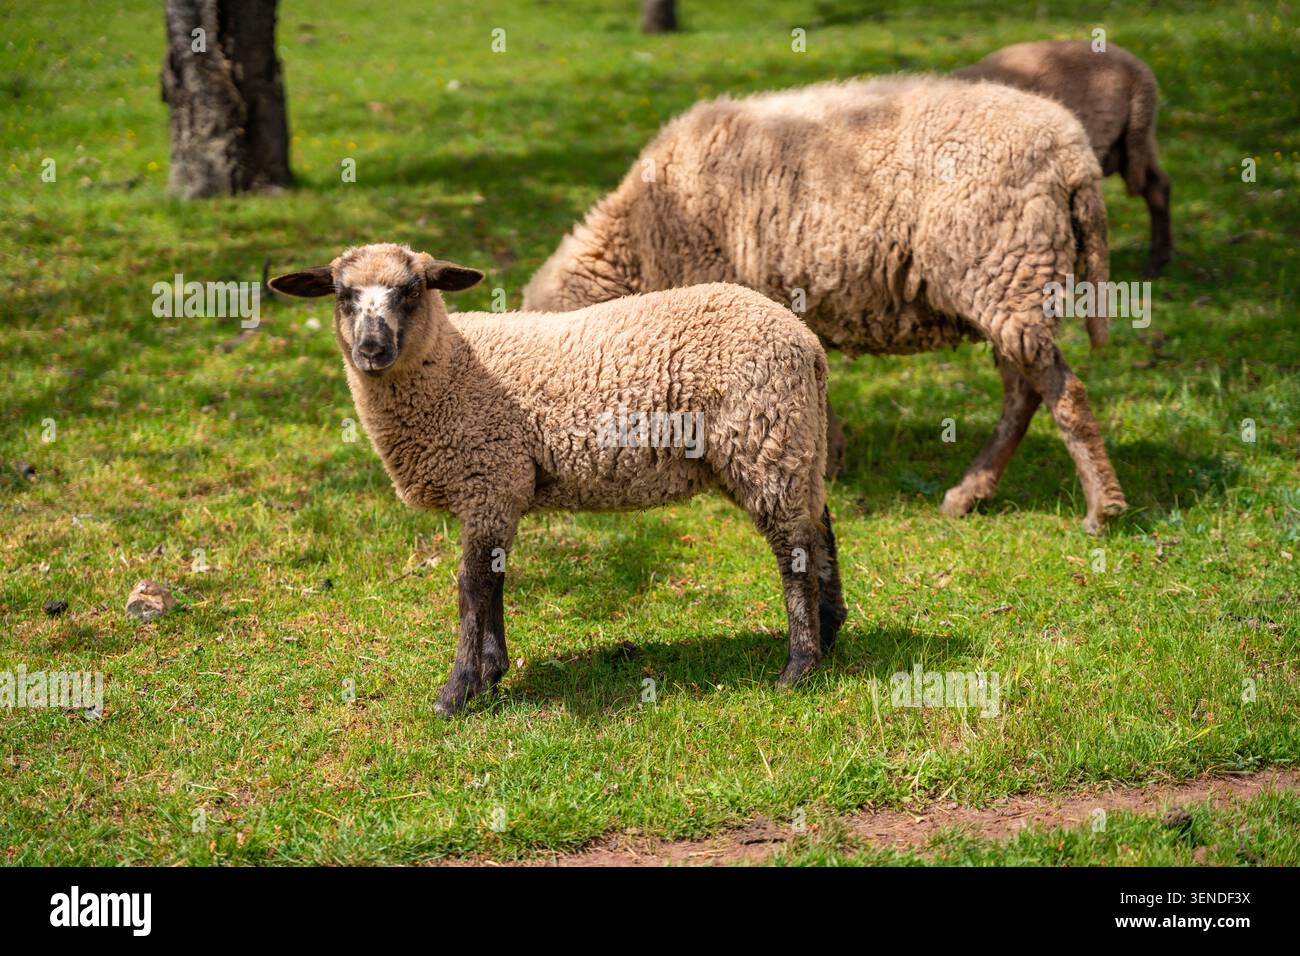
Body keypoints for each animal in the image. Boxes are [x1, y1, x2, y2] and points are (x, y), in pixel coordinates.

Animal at [270, 244, 847, 715]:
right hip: (794, 440)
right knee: (820, 526)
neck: (453, 367)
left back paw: (798, 667)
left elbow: (471, 587)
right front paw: (491, 675)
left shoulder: (489, 477)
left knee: (793, 547)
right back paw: (830, 629)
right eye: (342, 295)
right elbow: (493, 581)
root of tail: (806, 343)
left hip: (763, 437)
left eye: (412, 290)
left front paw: (458, 691)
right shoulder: (499, 488)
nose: (371, 349)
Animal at [522, 75, 1128, 532]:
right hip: (1010, 287)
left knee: (1061, 392)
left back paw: (1101, 507)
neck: (642, 236)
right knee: (1022, 396)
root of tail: (1073, 154)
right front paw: (829, 459)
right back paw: (971, 493)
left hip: (1006, 273)